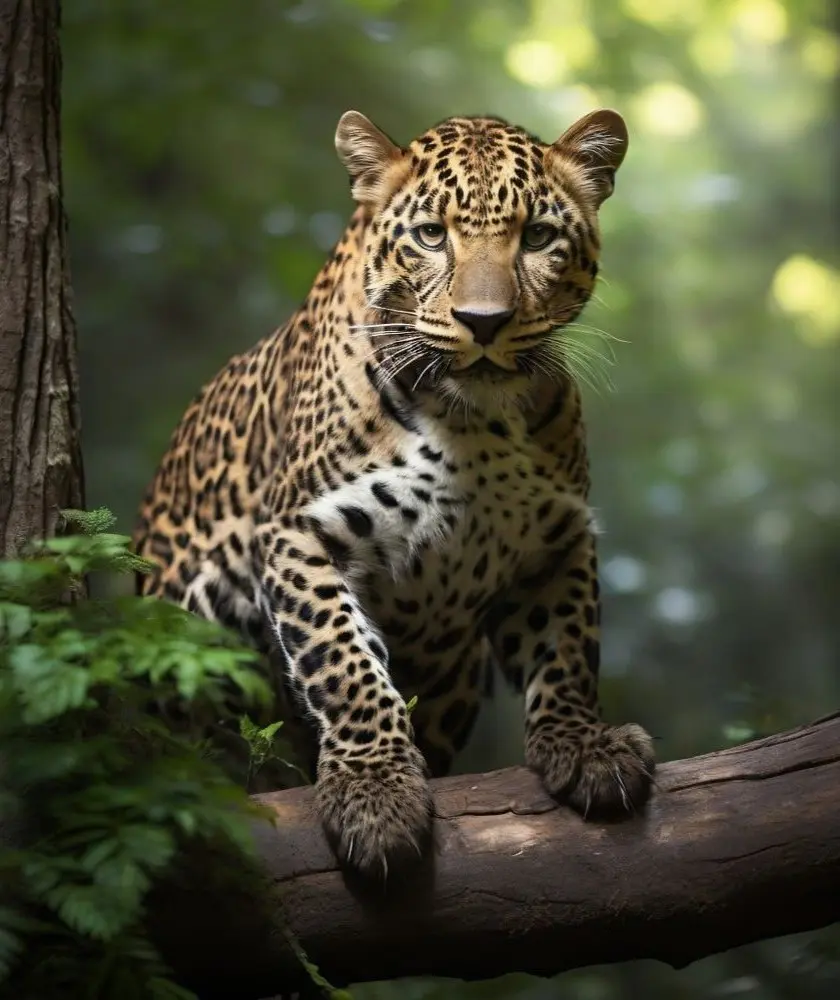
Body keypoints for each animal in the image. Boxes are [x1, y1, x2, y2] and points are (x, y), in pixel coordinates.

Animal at [133, 107, 656, 878]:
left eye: (536, 237)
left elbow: (567, 645)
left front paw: (584, 743)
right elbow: (343, 661)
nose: (484, 322)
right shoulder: (297, 533)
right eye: (432, 235)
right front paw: (375, 791)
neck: (476, 423)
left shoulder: (557, 540)